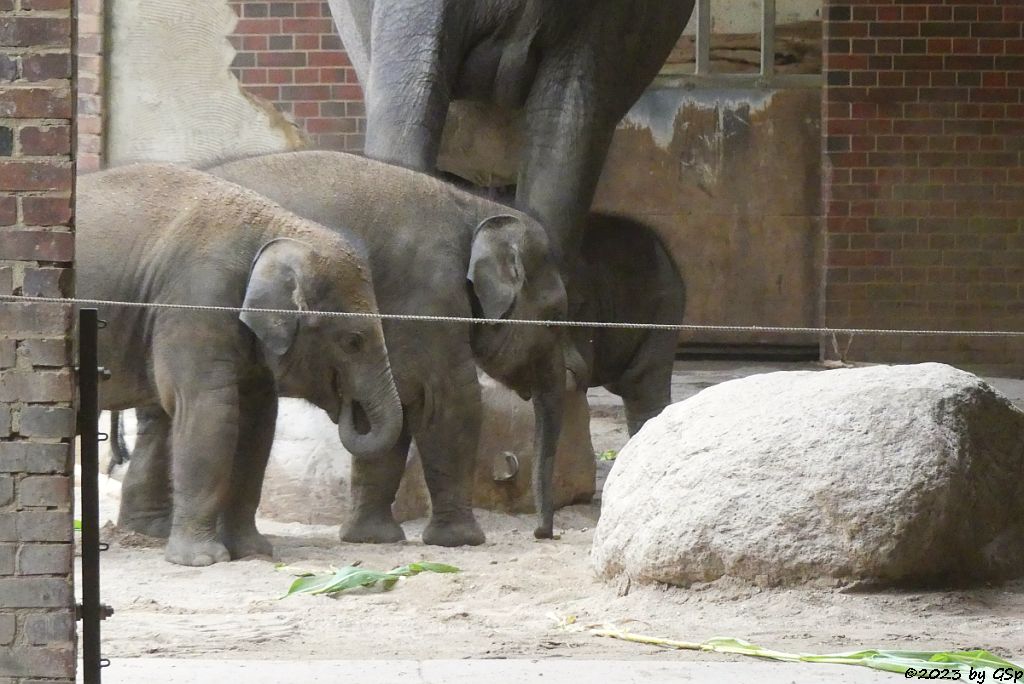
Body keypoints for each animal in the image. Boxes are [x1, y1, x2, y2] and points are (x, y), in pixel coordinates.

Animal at [78, 165, 403, 565]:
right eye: (353, 341)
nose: (348, 404)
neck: (274, 228)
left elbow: (257, 421)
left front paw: (253, 552)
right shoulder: (197, 299)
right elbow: (209, 410)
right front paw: (203, 560)